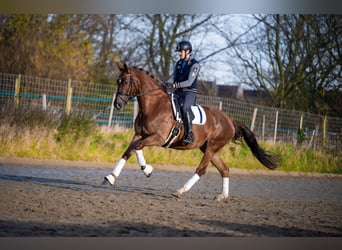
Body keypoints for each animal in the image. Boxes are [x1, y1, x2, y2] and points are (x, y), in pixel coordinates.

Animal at [103, 62, 280, 201]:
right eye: (117, 81)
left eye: (126, 81)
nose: (118, 105)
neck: (153, 105)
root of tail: (230, 120)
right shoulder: (140, 134)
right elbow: (130, 150)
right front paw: (112, 177)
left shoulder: (158, 137)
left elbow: (136, 147)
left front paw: (147, 170)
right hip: (209, 149)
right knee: (224, 169)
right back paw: (222, 196)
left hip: (211, 148)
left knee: (201, 170)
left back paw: (180, 191)